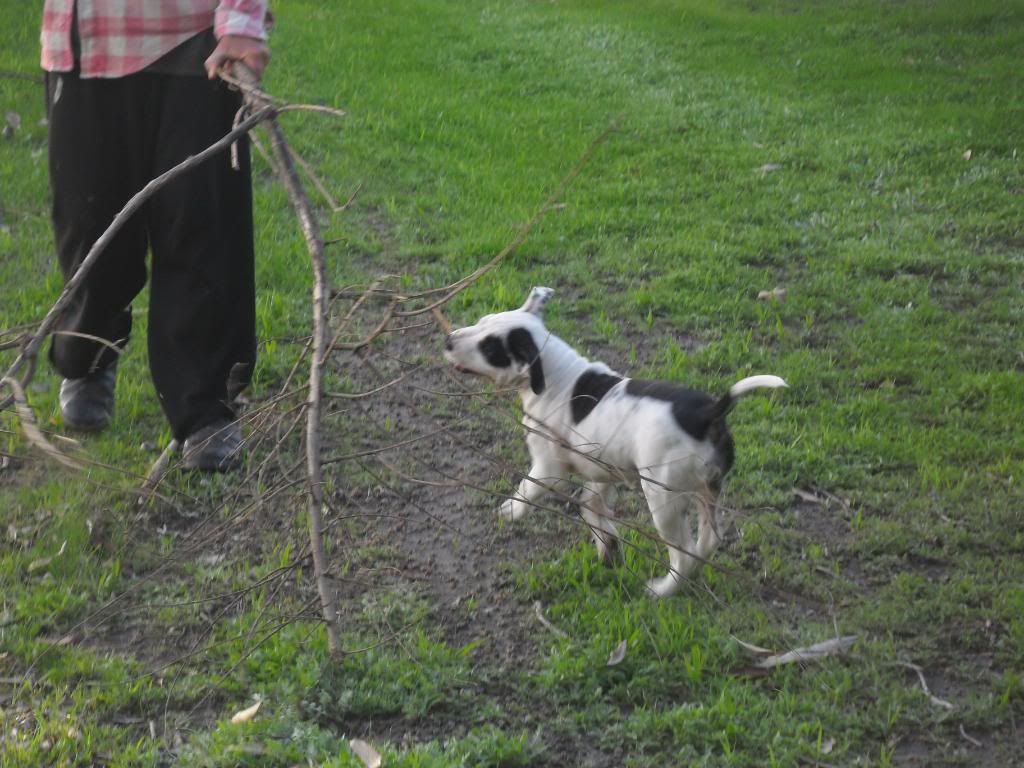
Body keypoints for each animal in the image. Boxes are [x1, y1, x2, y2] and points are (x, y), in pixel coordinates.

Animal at [444, 288, 786, 602]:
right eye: (481, 321)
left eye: (489, 347)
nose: (448, 340)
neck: (555, 375)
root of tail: (708, 413)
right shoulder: (602, 470)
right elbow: (591, 508)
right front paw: (608, 547)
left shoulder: (548, 468)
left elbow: (526, 491)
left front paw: (509, 512)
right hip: (708, 490)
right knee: (708, 540)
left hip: (662, 498)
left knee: (683, 552)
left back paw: (663, 590)